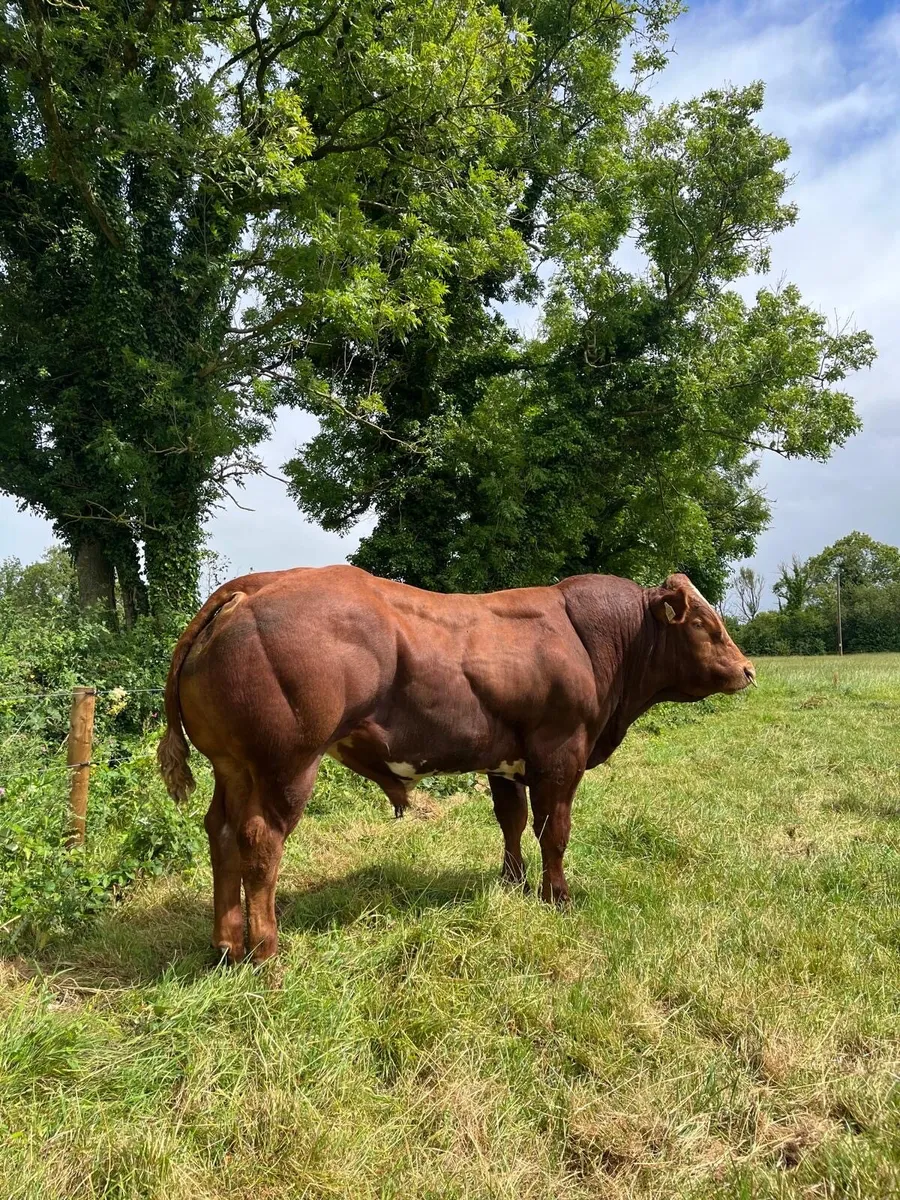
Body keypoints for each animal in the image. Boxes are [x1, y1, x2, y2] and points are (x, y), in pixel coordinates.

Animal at [158, 565, 755, 962]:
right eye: (705, 625)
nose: (748, 669)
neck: (590, 640)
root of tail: (248, 586)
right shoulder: (560, 752)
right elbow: (554, 829)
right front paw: (556, 896)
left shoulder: (505, 761)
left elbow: (512, 822)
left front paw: (513, 883)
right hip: (285, 765)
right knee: (260, 842)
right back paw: (266, 954)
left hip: (233, 767)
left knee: (222, 834)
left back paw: (226, 946)